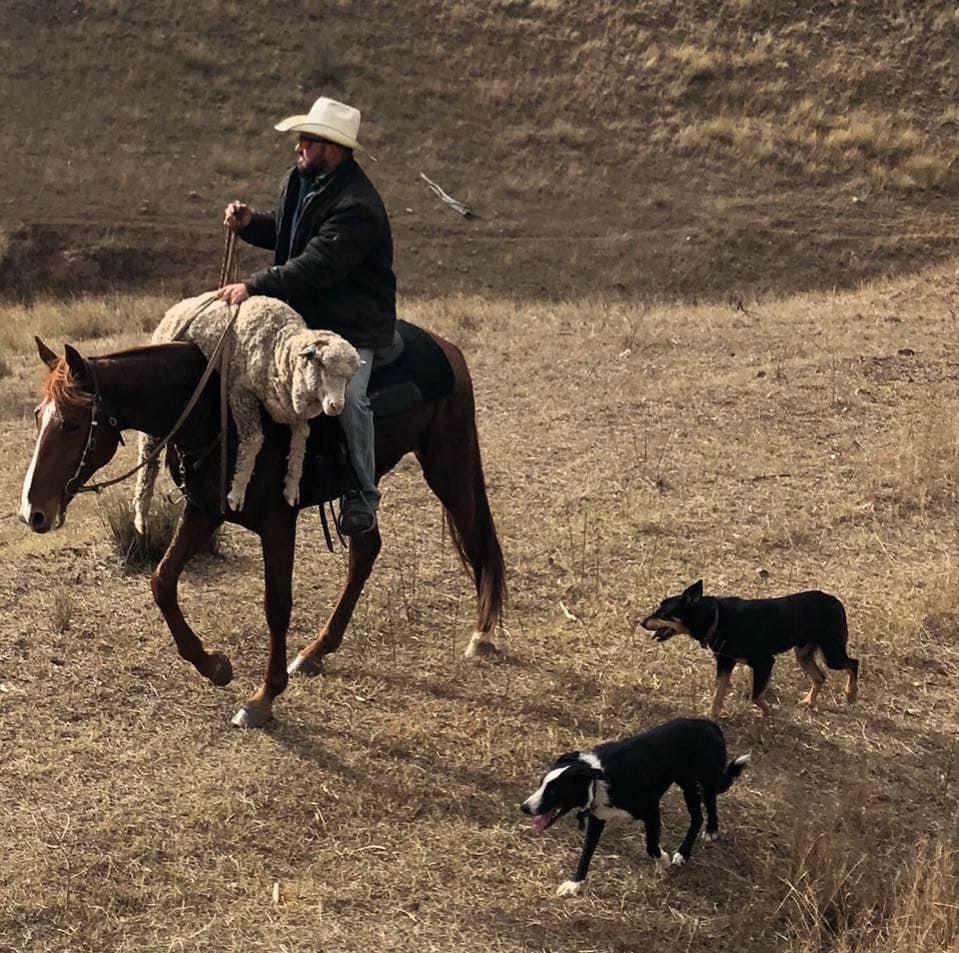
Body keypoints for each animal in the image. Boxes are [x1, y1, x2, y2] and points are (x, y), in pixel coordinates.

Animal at [19, 331, 506, 727]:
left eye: (72, 423)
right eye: (38, 416)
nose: (32, 512)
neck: (211, 411)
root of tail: (448, 349)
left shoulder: (277, 521)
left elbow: (276, 604)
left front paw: (263, 697)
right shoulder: (204, 511)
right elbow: (162, 581)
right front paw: (215, 666)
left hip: (448, 464)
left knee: (476, 537)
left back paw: (482, 636)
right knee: (365, 551)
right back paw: (316, 651)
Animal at [520, 718, 749, 897]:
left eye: (553, 791)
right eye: (541, 784)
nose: (525, 807)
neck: (598, 779)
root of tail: (710, 724)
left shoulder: (651, 811)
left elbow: (651, 846)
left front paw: (663, 861)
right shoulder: (597, 818)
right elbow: (586, 853)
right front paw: (575, 883)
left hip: (706, 781)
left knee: (708, 807)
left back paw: (702, 838)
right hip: (687, 783)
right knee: (697, 816)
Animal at [641, 580, 860, 718]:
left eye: (663, 613)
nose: (641, 622)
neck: (716, 619)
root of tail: (834, 600)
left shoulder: (764, 662)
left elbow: (755, 695)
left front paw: (769, 713)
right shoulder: (725, 663)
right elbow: (718, 694)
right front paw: (711, 715)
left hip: (832, 653)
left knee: (853, 663)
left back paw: (850, 694)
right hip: (803, 654)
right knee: (820, 677)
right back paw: (809, 701)